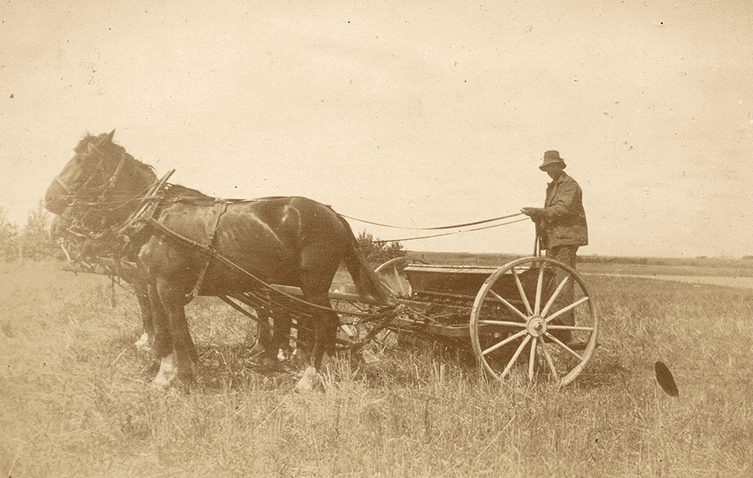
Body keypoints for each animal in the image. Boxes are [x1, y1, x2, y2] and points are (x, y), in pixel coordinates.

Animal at [45, 131, 388, 388]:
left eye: (83, 160)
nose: (49, 200)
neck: (155, 216)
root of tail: (334, 214)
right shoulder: (152, 285)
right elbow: (163, 328)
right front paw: (164, 373)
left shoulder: (167, 286)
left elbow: (176, 329)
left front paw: (180, 377)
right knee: (315, 322)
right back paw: (324, 369)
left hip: (314, 282)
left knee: (324, 322)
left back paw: (309, 377)